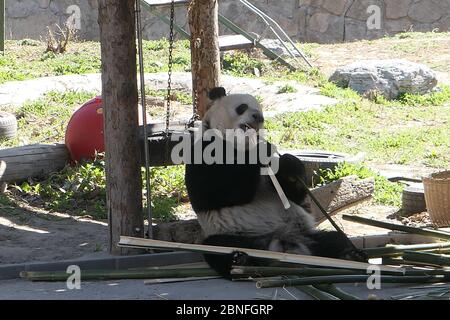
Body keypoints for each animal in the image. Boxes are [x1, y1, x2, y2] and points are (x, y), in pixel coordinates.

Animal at [185, 86, 360, 276]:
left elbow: (293, 195)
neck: (239, 145)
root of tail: (281, 246)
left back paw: (349, 255)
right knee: (217, 246)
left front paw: (289, 164)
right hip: (240, 234)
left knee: (333, 239)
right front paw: (262, 150)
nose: (258, 118)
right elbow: (216, 194)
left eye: (261, 111)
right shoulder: (204, 152)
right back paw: (239, 261)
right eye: (242, 107)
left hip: (304, 233)